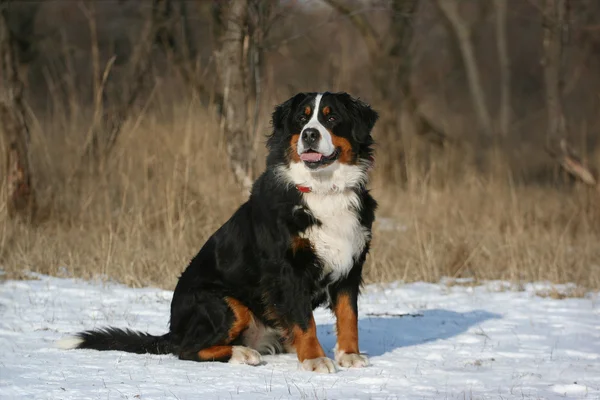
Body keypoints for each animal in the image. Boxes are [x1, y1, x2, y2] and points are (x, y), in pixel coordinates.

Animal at [58, 90, 378, 372]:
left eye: (331, 117)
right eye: (302, 118)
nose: (309, 134)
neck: (323, 190)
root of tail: (174, 329)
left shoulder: (351, 263)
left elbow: (349, 315)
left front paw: (349, 355)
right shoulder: (288, 270)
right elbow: (303, 320)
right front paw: (315, 359)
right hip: (223, 303)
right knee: (187, 349)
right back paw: (242, 353)